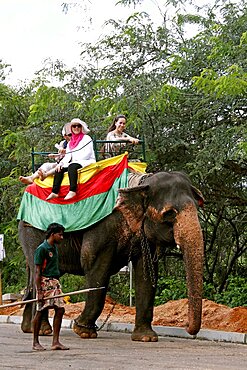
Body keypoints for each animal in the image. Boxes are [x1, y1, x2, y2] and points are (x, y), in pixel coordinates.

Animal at [18, 172, 205, 342]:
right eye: (169, 214)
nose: (187, 327)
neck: (140, 184)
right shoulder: (102, 227)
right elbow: (94, 266)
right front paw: (84, 332)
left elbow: (146, 274)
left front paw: (146, 338)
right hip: (32, 232)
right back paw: (43, 331)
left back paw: (30, 329)